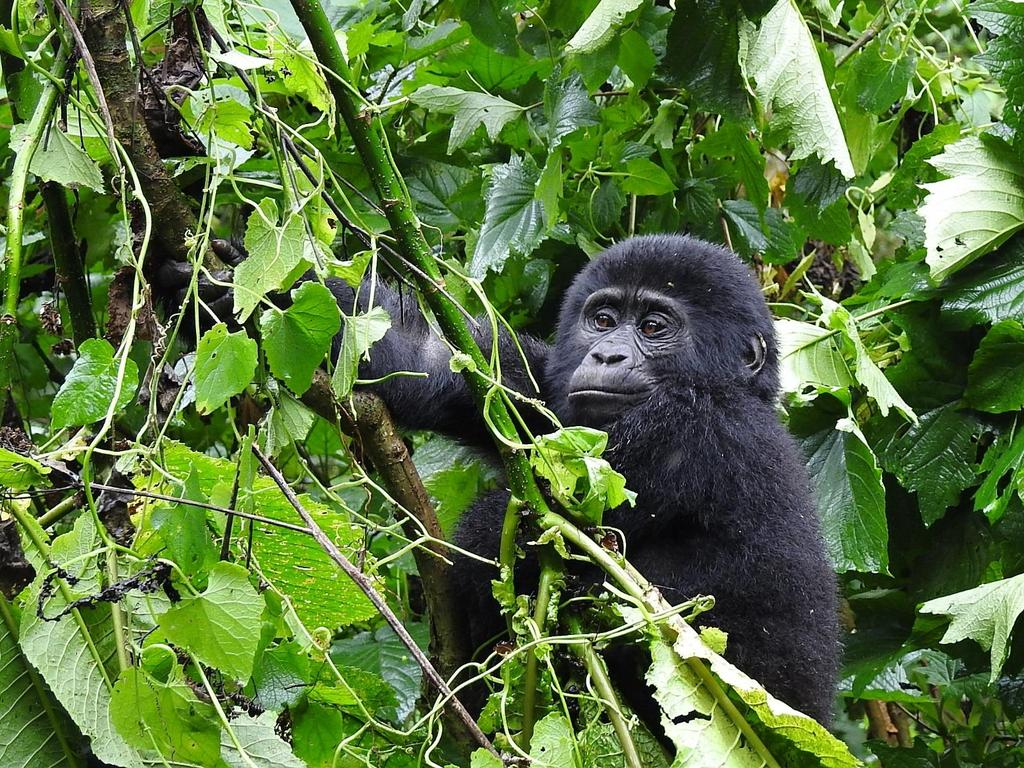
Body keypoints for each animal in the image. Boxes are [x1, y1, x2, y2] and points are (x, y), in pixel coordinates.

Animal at [165, 231, 839, 724]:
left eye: (654, 327)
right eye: (603, 319)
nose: (607, 355)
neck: (735, 388)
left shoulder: (694, 428)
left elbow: (548, 521)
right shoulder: (547, 388)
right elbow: (439, 365)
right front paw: (255, 287)